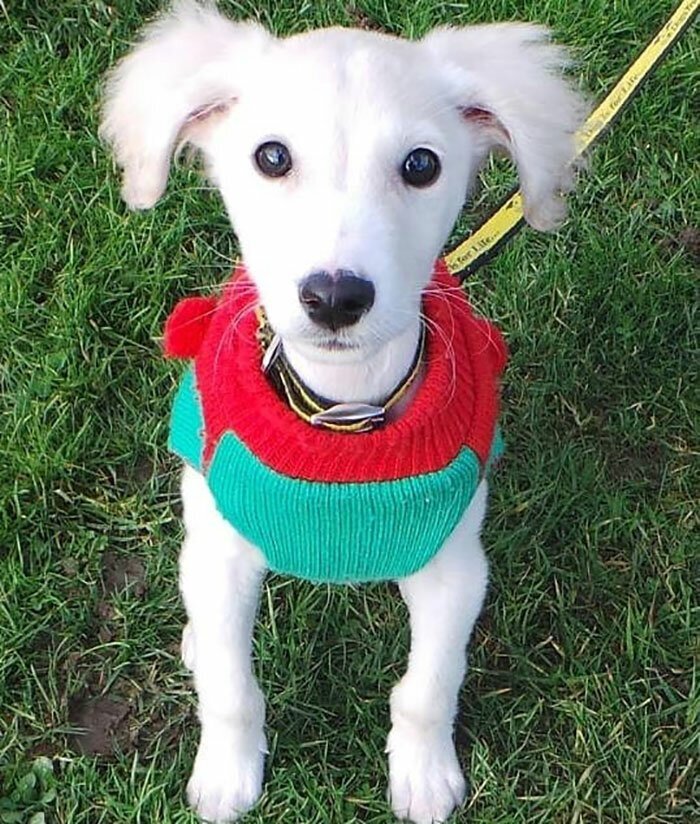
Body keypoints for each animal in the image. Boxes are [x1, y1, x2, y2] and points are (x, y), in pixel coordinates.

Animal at [100, 3, 584, 820]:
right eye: (271, 156)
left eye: (421, 165)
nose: (334, 297)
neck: (341, 409)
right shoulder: (226, 554)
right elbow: (232, 689)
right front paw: (227, 775)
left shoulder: (455, 566)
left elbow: (428, 685)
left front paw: (423, 774)